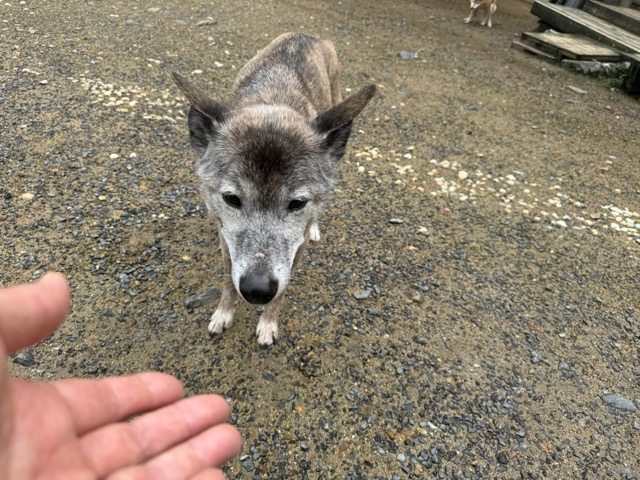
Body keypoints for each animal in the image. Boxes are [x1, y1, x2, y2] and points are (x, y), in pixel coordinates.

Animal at [173, 33, 376, 345]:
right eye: (231, 198)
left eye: (297, 203)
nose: (257, 290)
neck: (273, 103)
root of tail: (306, 34)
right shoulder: (225, 236)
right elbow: (228, 279)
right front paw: (223, 313)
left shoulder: (295, 246)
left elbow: (281, 292)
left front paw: (268, 323)